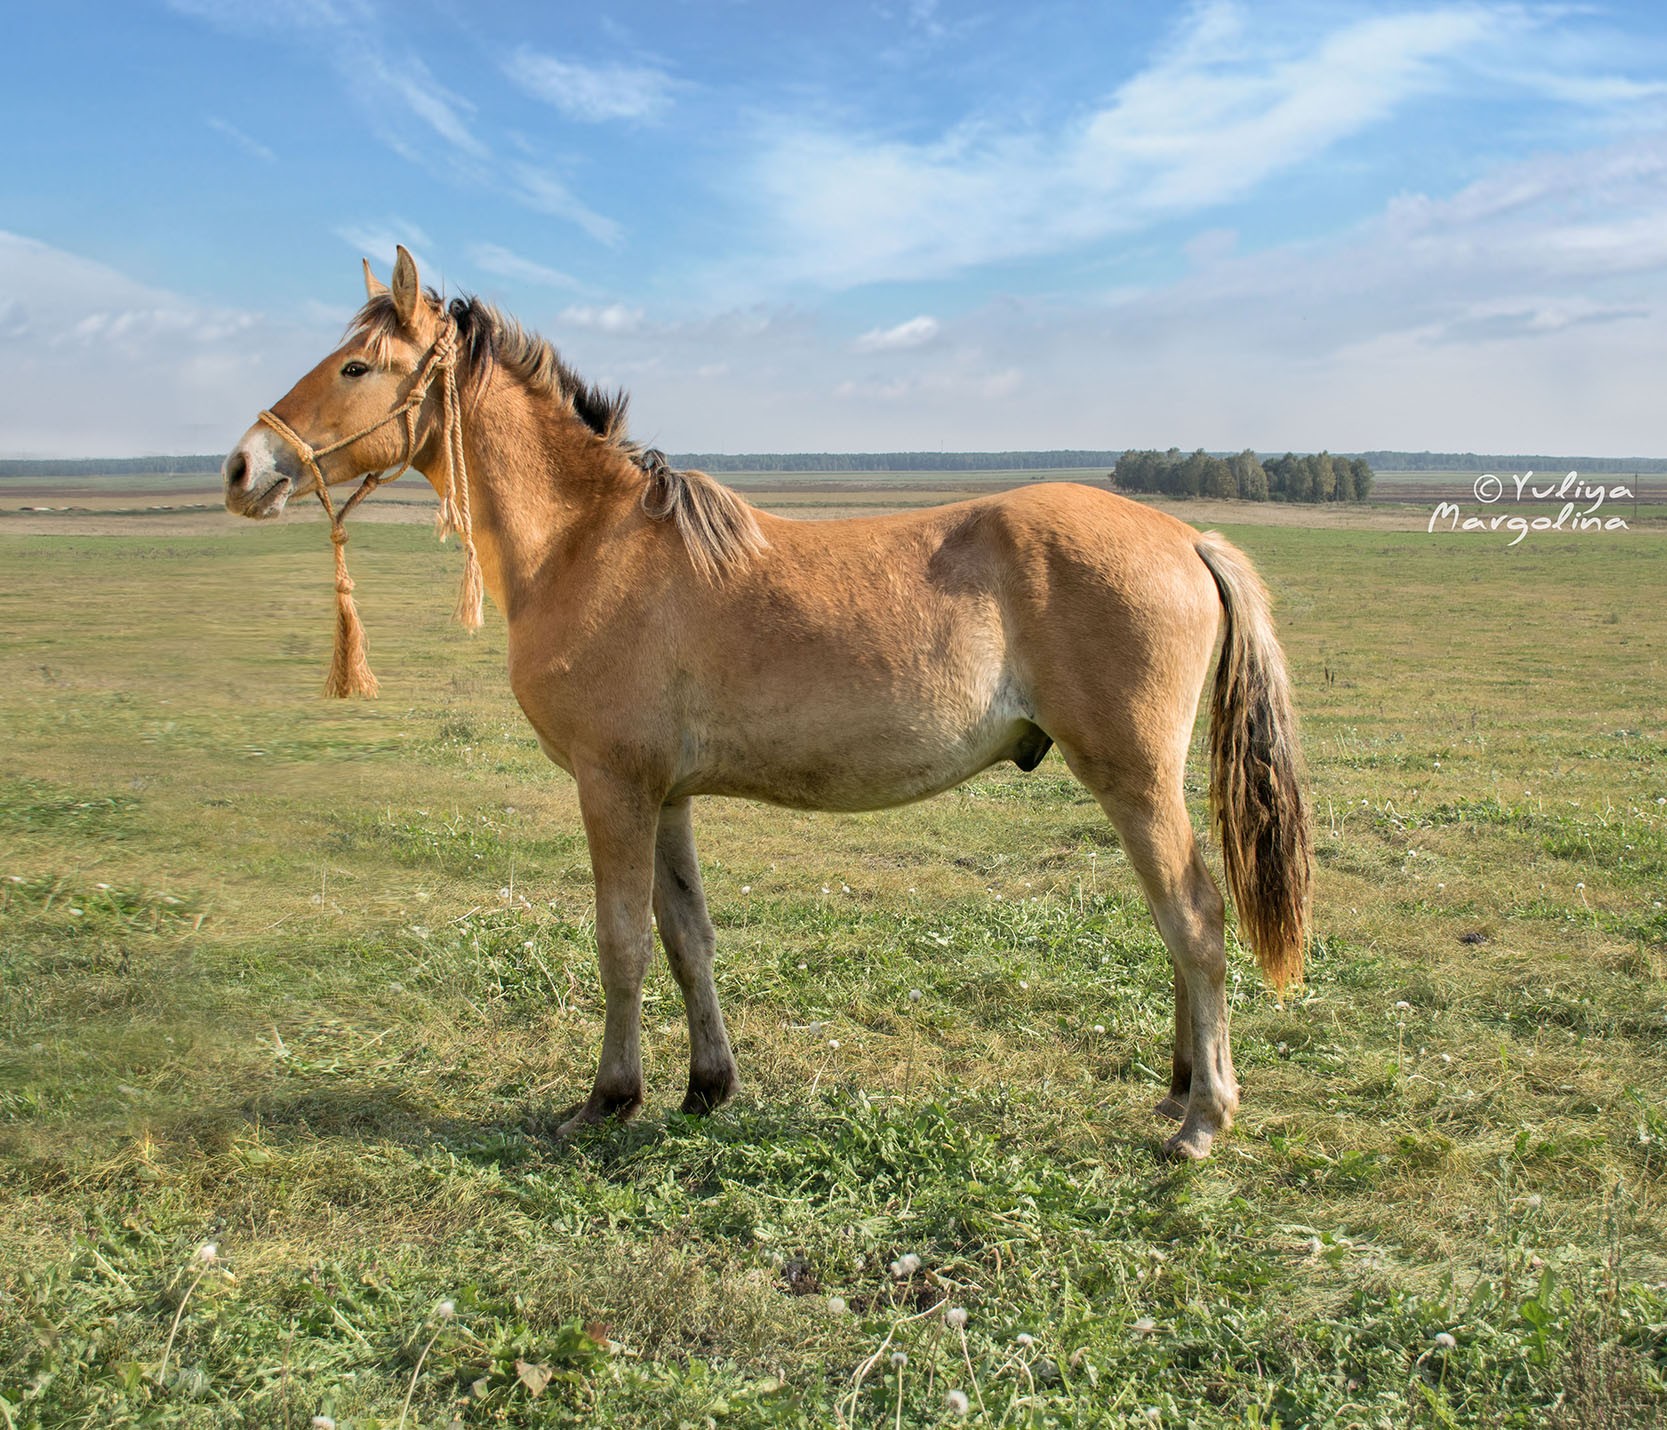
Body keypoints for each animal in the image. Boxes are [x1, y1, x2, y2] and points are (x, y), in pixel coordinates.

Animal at [225, 245, 1313, 1160]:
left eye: (356, 367)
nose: (242, 466)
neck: (590, 544)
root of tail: (1184, 536)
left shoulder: (611, 786)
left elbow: (620, 941)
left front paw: (607, 1098)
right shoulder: (666, 796)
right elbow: (685, 938)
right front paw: (707, 1084)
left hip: (1131, 775)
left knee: (1193, 917)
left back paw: (1204, 1117)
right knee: (1173, 920)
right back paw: (1177, 1088)